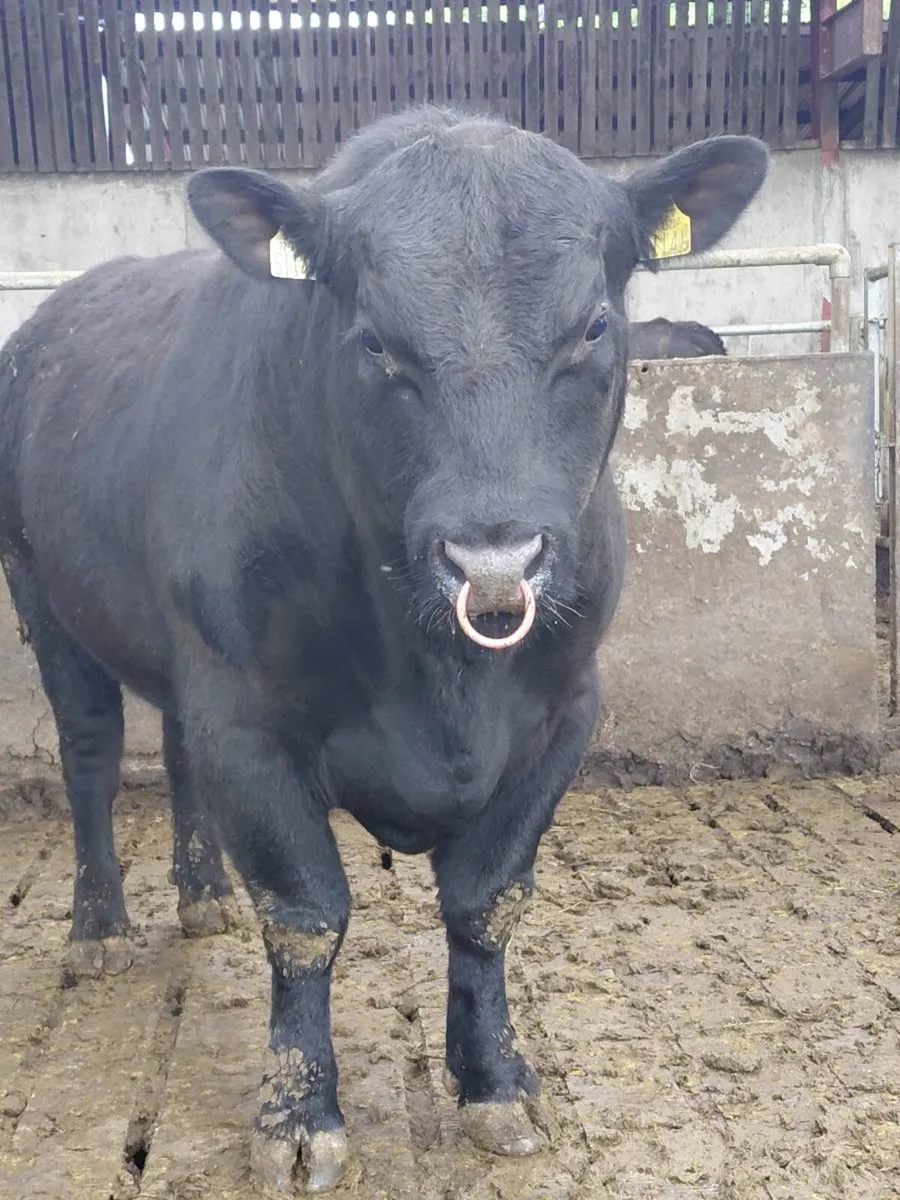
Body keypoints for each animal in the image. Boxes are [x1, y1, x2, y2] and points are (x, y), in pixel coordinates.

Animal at [0, 106, 768, 1194]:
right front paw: (296, 1117)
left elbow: (488, 902)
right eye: (372, 339)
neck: (438, 682)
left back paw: (203, 899)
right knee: (93, 761)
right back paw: (99, 929)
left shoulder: (565, 712)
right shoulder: (249, 720)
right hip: (44, 598)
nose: (493, 557)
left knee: (177, 758)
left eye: (593, 328)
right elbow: (306, 914)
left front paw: (495, 1082)